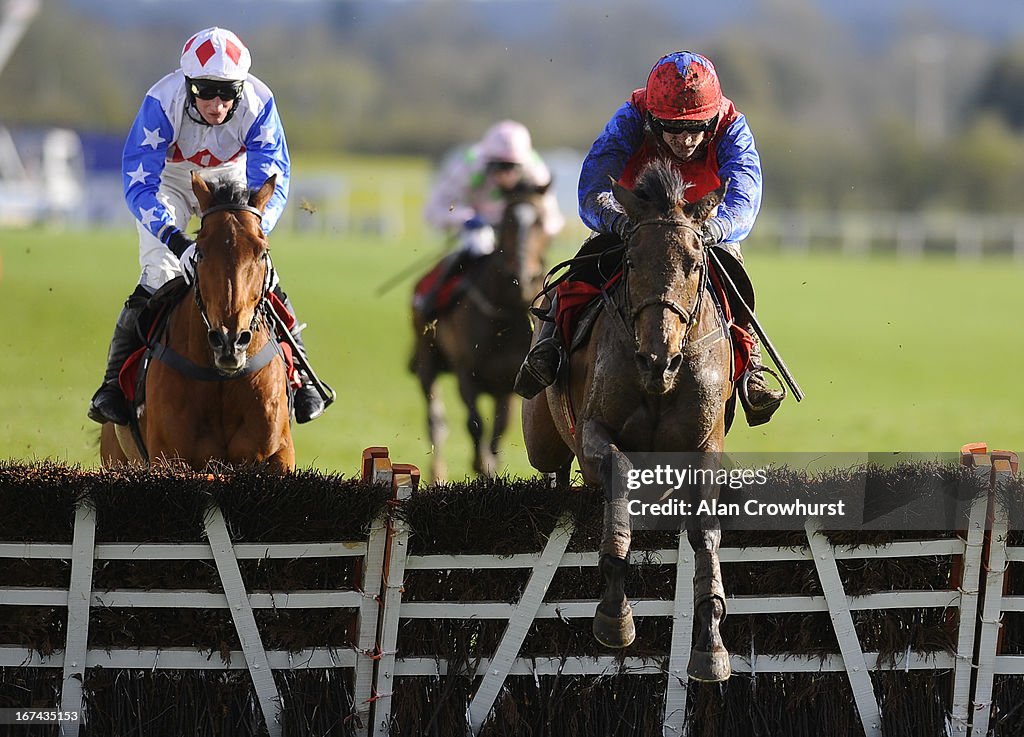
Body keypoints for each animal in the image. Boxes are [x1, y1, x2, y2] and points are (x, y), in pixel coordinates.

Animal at [100, 172, 296, 472]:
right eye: (200, 252)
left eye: (263, 252)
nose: (229, 341)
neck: (221, 379)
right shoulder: (169, 457)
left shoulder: (278, 453)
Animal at [407, 183, 552, 481]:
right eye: (507, 220)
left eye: (541, 221)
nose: (523, 277)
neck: (506, 314)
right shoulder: (467, 372)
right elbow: (474, 423)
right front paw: (481, 464)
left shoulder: (509, 382)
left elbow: (501, 427)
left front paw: (492, 464)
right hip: (428, 361)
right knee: (435, 421)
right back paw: (437, 472)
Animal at [524, 162, 733, 683]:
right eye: (633, 261)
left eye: (695, 263)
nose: (658, 360)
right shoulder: (593, 435)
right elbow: (618, 471)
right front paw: (614, 614)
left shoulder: (704, 447)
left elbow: (704, 531)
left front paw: (710, 642)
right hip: (542, 438)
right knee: (553, 469)